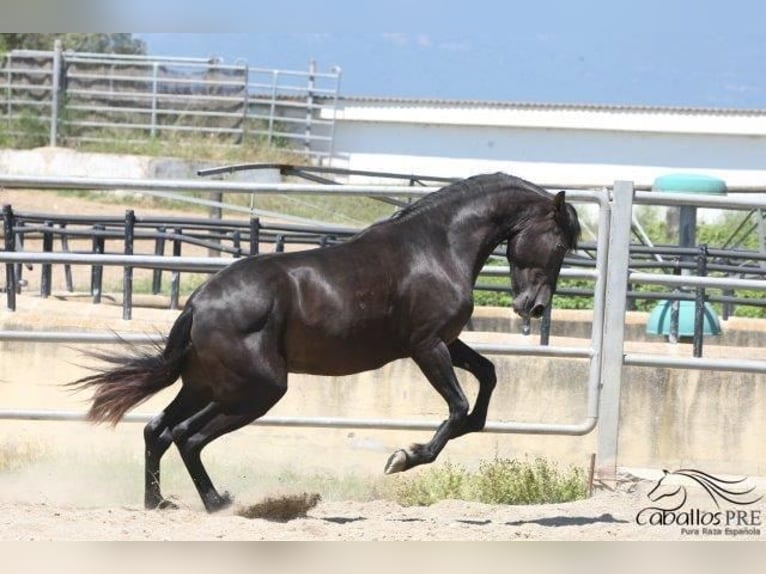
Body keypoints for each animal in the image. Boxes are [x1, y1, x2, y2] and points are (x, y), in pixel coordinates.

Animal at [69, 171, 580, 512]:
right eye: (558, 244)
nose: (533, 308)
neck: (437, 247)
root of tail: (199, 303)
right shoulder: (427, 346)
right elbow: (456, 407)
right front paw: (403, 458)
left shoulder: (447, 342)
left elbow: (487, 378)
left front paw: (461, 430)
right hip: (257, 390)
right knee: (186, 436)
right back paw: (218, 502)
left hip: (204, 385)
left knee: (157, 430)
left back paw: (159, 503)